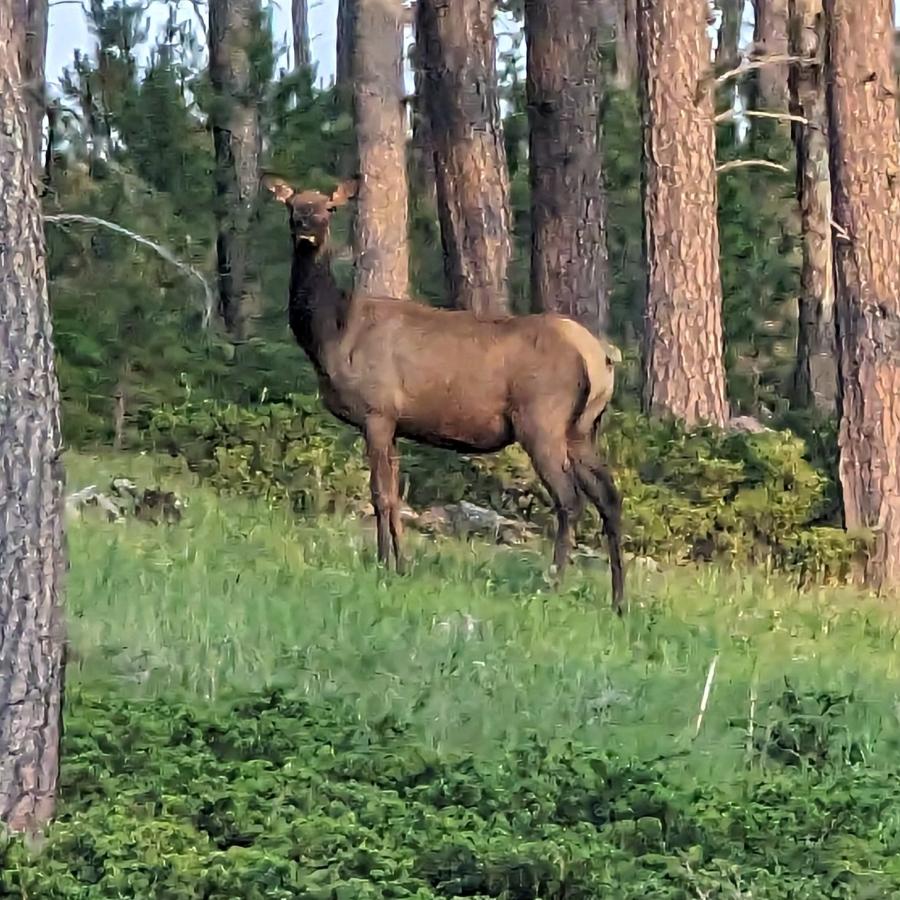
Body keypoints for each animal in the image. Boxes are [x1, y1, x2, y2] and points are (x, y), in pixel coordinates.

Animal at [263, 175, 626, 613]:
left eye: (328, 208)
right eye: (293, 205)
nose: (305, 227)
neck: (330, 333)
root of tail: (599, 356)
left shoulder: (376, 411)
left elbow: (380, 495)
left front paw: (383, 564)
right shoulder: (395, 424)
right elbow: (394, 495)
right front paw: (401, 564)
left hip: (542, 421)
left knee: (570, 499)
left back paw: (553, 582)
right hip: (584, 429)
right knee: (609, 497)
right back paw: (619, 600)